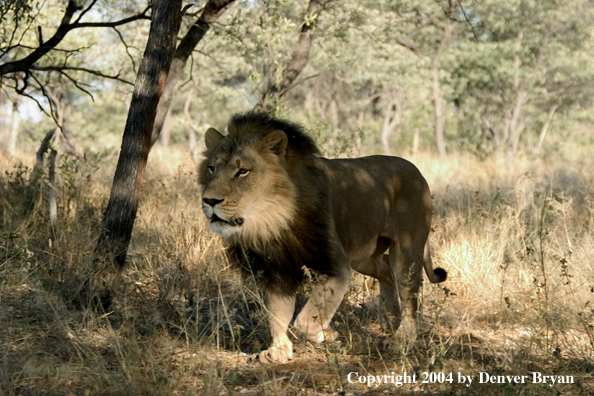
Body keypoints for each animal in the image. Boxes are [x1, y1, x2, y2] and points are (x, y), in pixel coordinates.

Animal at [199, 110, 444, 362]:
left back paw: (401, 337)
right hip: (362, 255)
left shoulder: (336, 266)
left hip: (406, 251)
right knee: (385, 270)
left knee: (408, 293)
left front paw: (327, 334)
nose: (209, 200)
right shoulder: (278, 269)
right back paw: (390, 320)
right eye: (211, 168)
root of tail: (415, 169)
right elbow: (277, 314)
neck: (272, 219)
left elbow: (306, 320)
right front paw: (278, 351)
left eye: (242, 171)